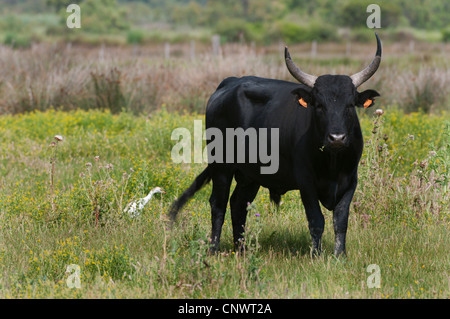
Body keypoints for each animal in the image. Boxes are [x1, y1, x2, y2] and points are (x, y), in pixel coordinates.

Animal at [171, 33, 382, 256]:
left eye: (350, 105)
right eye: (319, 105)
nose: (337, 138)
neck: (332, 163)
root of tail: (230, 82)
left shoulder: (350, 182)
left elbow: (340, 221)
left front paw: (340, 256)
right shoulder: (306, 182)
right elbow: (316, 220)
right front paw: (316, 256)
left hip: (250, 175)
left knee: (238, 203)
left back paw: (242, 250)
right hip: (221, 166)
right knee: (218, 204)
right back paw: (214, 250)